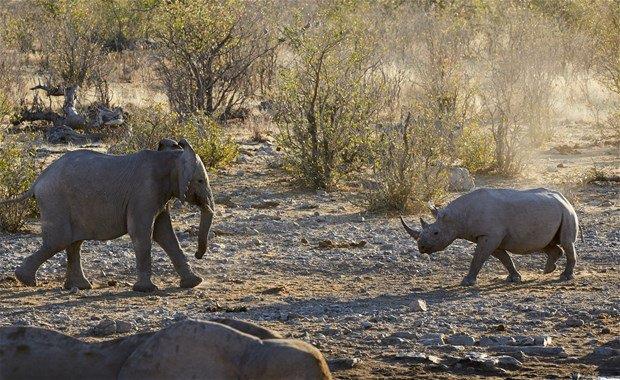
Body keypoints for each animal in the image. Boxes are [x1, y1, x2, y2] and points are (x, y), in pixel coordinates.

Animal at [0, 138, 213, 292]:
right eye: (201, 181)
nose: (198, 254)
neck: (171, 158)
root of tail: (37, 181)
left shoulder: (159, 195)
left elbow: (165, 234)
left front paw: (194, 283)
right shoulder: (144, 193)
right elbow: (142, 232)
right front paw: (146, 290)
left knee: (73, 243)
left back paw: (80, 286)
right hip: (55, 201)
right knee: (58, 241)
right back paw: (26, 280)